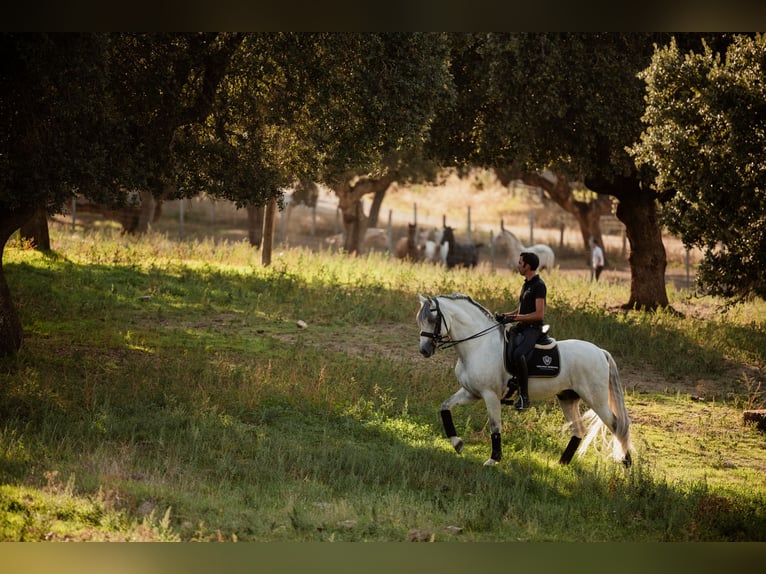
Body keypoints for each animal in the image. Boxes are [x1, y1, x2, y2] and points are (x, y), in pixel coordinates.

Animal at [416, 292, 632, 468]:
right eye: (420, 320)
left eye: (433, 319)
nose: (424, 351)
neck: (478, 344)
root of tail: (600, 352)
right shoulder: (471, 392)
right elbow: (445, 407)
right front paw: (458, 444)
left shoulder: (490, 395)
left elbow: (495, 426)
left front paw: (493, 459)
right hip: (568, 398)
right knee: (579, 429)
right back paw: (562, 464)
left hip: (596, 399)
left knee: (617, 425)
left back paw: (626, 465)